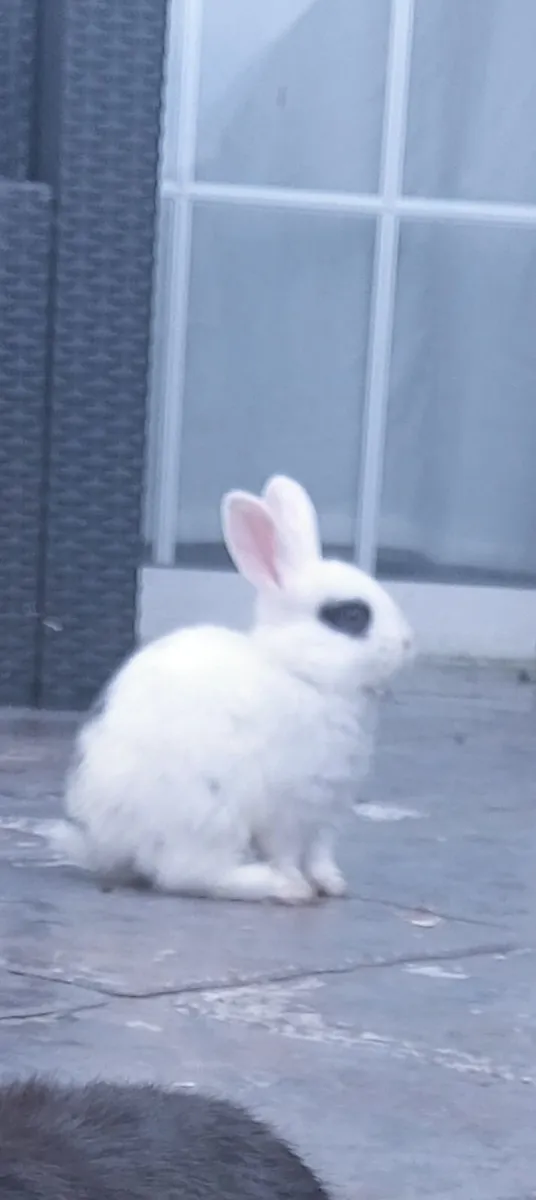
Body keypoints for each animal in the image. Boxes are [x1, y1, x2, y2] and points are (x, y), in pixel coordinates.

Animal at [50, 475, 413, 903]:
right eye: (350, 616)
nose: (408, 644)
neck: (302, 674)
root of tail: (103, 843)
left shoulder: (327, 813)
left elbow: (321, 855)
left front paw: (333, 885)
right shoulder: (287, 811)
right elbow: (287, 854)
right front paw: (299, 886)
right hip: (207, 818)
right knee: (189, 875)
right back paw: (276, 886)